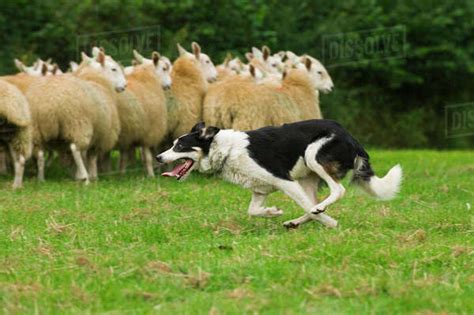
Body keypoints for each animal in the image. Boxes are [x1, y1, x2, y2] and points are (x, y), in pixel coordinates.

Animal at [157, 119, 402, 228]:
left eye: (179, 147)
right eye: (173, 145)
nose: (159, 157)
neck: (226, 151)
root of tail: (350, 136)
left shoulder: (285, 181)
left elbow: (307, 206)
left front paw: (331, 223)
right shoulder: (260, 190)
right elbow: (253, 211)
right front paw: (273, 212)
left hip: (313, 156)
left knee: (335, 192)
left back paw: (320, 212)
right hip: (307, 177)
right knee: (313, 202)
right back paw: (295, 222)